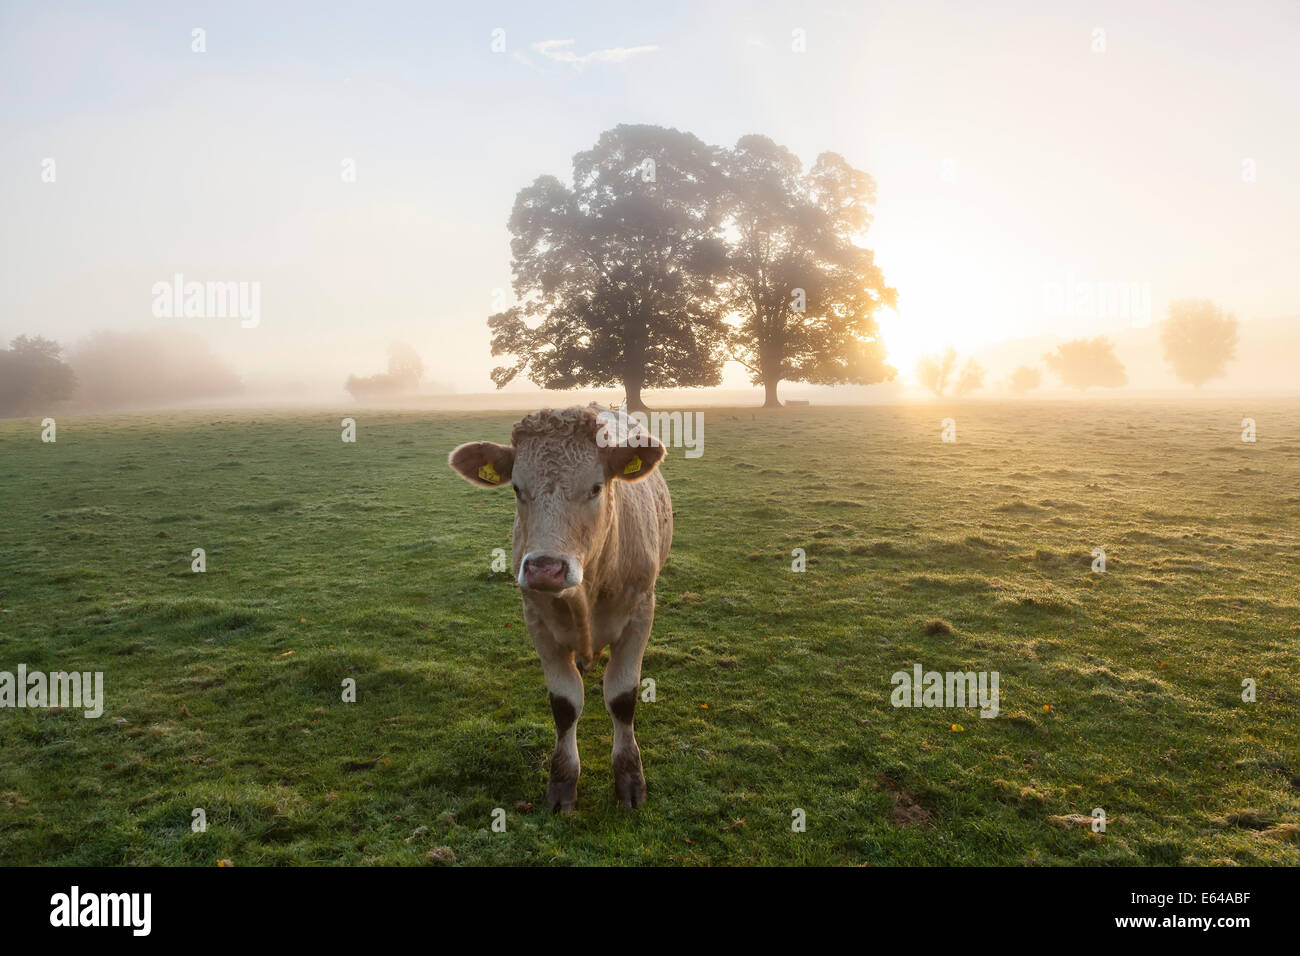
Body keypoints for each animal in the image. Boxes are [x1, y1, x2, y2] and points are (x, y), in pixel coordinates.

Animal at [447, 408, 670, 811]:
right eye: (517, 488)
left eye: (596, 487)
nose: (544, 568)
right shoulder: (538, 621)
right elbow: (565, 703)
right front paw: (563, 783)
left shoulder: (641, 613)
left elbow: (623, 698)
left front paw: (629, 779)